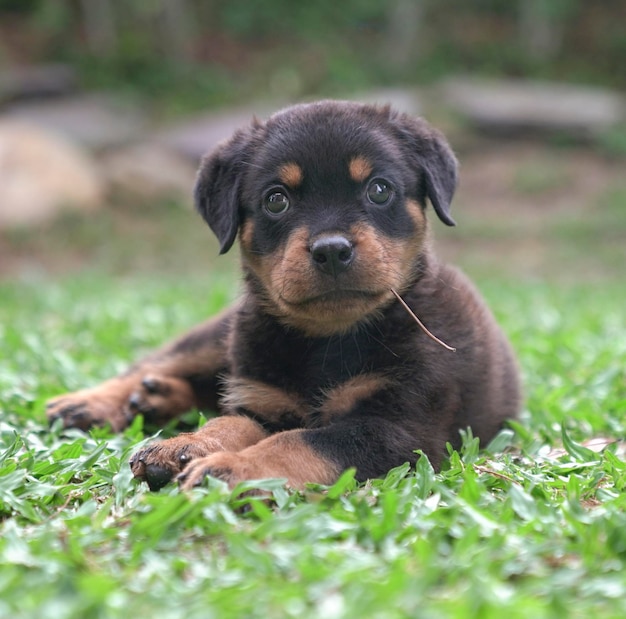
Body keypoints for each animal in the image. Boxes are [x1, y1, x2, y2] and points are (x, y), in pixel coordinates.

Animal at [46, 100, 520, 490]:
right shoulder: (263, 400)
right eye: (276, 200)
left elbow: (300, 442)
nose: (332, 249)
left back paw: (154, 398)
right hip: (221, 336)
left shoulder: (400, 428)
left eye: (379, 189)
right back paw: (92, 404)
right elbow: (230, 423)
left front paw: (231, 468)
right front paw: (186, 444)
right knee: (162, 362)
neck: (329, 341)